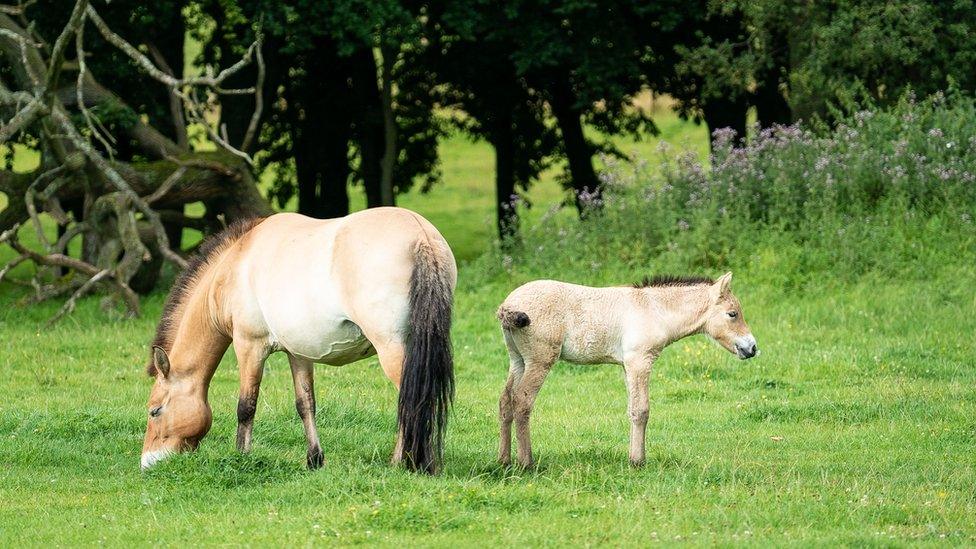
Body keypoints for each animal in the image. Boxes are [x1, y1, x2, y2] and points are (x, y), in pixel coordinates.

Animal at [140, 208, 456, 474]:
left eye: (155, 411)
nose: (147, 463)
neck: (237, 263)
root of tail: (421, 236)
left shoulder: (249, 346)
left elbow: (246, 407)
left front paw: (241, 456)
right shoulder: (299, 353)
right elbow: (305, 404)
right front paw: (314, 460)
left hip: (391, 348)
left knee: (409, 397)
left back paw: (401, 462)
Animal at [495, 272, 758, 468]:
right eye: (733, 314)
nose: (752, 348)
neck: (654, 309)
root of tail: (508, 304)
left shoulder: (627, 367)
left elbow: (632, 408)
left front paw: (634, 457)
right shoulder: (639, 361)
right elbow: (641, 410)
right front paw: (638, 462)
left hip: (518, 361)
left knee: (506, 401)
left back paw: (504, 460)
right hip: (539, 362)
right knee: (522, 402)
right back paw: (526, 463)